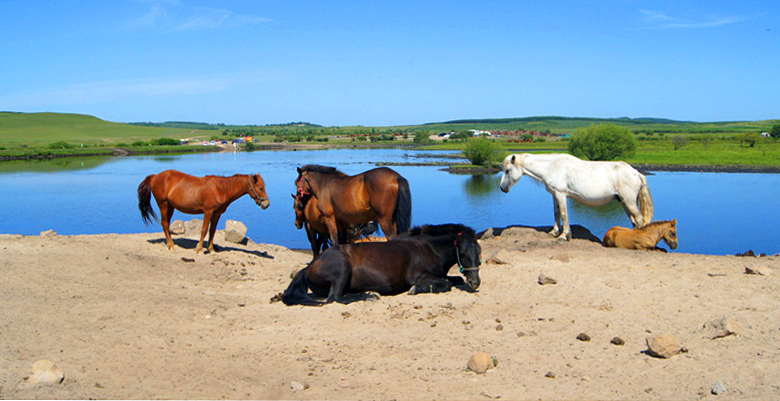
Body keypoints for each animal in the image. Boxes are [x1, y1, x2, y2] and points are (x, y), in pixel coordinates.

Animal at [139, 170, 272, 253]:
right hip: (164, 205)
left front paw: (211, 249)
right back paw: (171, 246)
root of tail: (155, 176)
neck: (221, 189)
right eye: (260, 188)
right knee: (165, 224)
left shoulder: (217, 214)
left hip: (171, 207)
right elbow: (204, 230)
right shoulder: (208, 211)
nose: (266, 204)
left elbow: (212, 231)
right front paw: (199, 249)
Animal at [282, 222, 482, 306]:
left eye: (479, 252)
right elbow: (446, 284)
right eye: (463, 253)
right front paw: (416, 290)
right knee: (335, 298)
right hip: (342, 270)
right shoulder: (418, 276)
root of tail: (310, 267)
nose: (475, 282)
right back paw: (368, 296)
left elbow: (455, 280)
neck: (429, 247)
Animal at [500, 153, 652, 241]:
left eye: (508, 170)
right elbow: (556, 213)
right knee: (634, 221)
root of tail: (636, 173)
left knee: (639, 219)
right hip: (624, 202)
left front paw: (564, 235)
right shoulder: (555, 195)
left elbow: (563, 213)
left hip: (629, 202)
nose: (502, 188)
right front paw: (554, 232)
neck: (552, 166)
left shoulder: (561, 194)